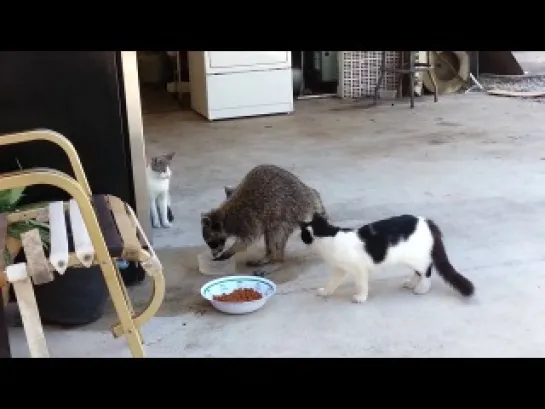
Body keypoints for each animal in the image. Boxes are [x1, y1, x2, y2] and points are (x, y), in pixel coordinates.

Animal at [300, 212, 474, 302]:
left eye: (303, 235)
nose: (302, 240)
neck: (328, 235)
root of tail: (427, 221)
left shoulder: (359, 268)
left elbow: (361, 284)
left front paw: (361, 297)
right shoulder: (339, 269)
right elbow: (332, 283)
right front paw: (325, 292)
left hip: (418, 258)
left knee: (427, 270)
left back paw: (421, 289)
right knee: (418, 272)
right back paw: (411, 283)